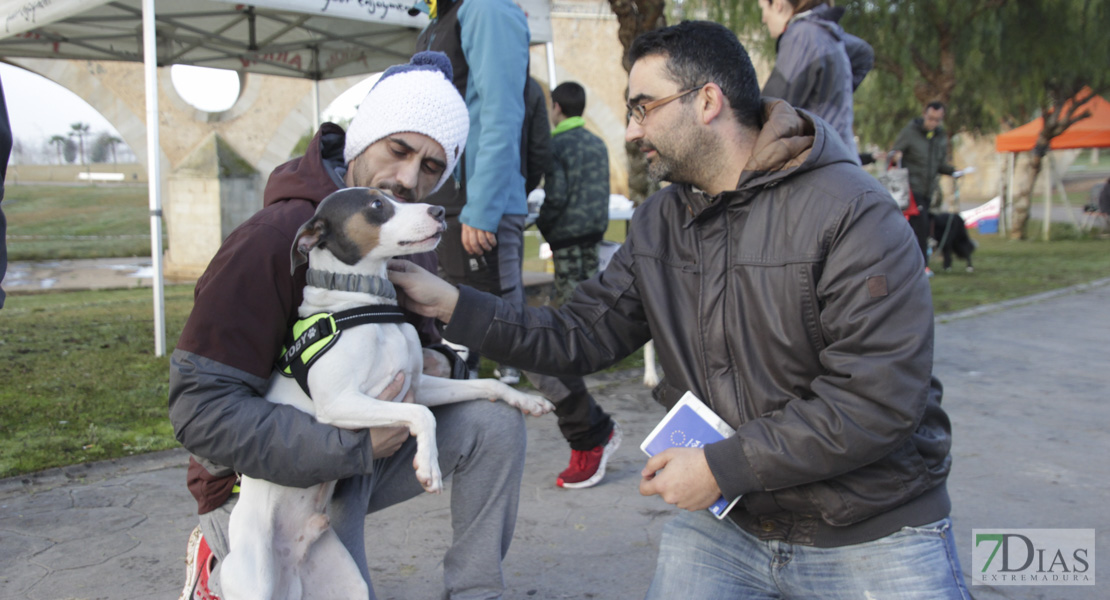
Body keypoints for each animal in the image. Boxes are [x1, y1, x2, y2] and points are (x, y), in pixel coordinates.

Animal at [220, 187, 555, 598]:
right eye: (376, 205)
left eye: (393, 195)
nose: (439, 210)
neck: (364, 303)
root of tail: (292, 567)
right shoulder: (340, 403)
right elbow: (421, 416)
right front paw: (428, 467)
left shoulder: (420, 384)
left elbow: (484, 384)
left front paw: (527, 400)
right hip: (255, 580)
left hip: (350, 585)